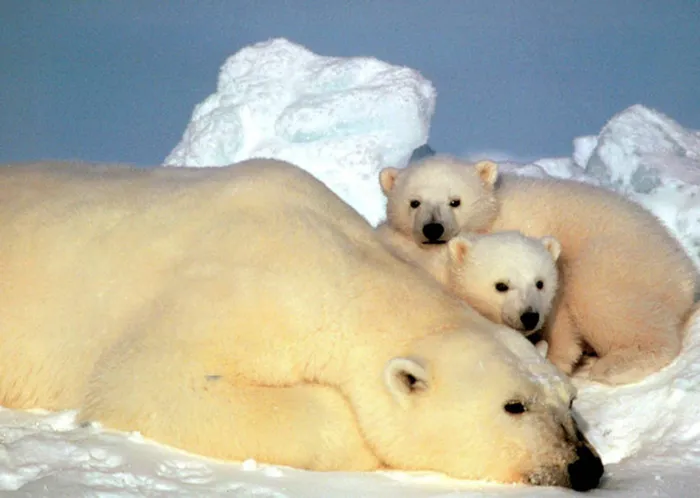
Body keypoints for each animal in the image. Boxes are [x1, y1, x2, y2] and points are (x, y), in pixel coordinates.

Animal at [377, 154, 699, 385]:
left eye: (455, 201)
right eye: (414, 202)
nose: (433, 228)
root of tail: (684, 272)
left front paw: (554, 357)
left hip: (621, 259)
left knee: (604, 298)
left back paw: (615, 365)